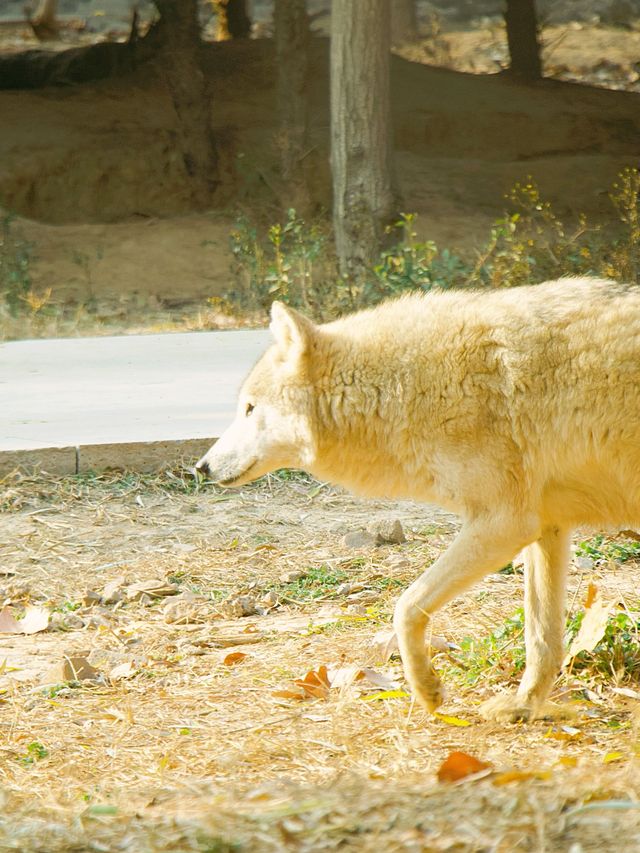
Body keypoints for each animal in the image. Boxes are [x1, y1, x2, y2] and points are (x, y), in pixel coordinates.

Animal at [198, 278, 640, 720]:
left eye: (249, 408)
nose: (201, 467)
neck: (404, 386)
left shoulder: (504, 524)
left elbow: (406, 606)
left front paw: (428, 690)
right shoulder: (546, 526)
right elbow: (542, 638)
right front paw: (523, 706)